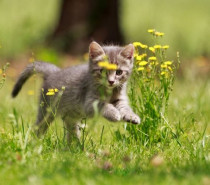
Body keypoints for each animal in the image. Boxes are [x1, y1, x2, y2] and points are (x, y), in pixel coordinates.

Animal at [11, 41, 139, 143]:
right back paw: (34, 143)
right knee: (38, 127)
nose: (111, 81)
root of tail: (54, 72)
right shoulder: (89, 103)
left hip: (70, 117)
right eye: (102, 71)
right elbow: (103, 104)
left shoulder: (120, 98)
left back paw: (73, 147)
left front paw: (131, 116)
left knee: (71, 132)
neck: (109, 91)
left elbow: (125, 107)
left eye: (119, 72)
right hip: (46, 112)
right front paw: (114, 113)